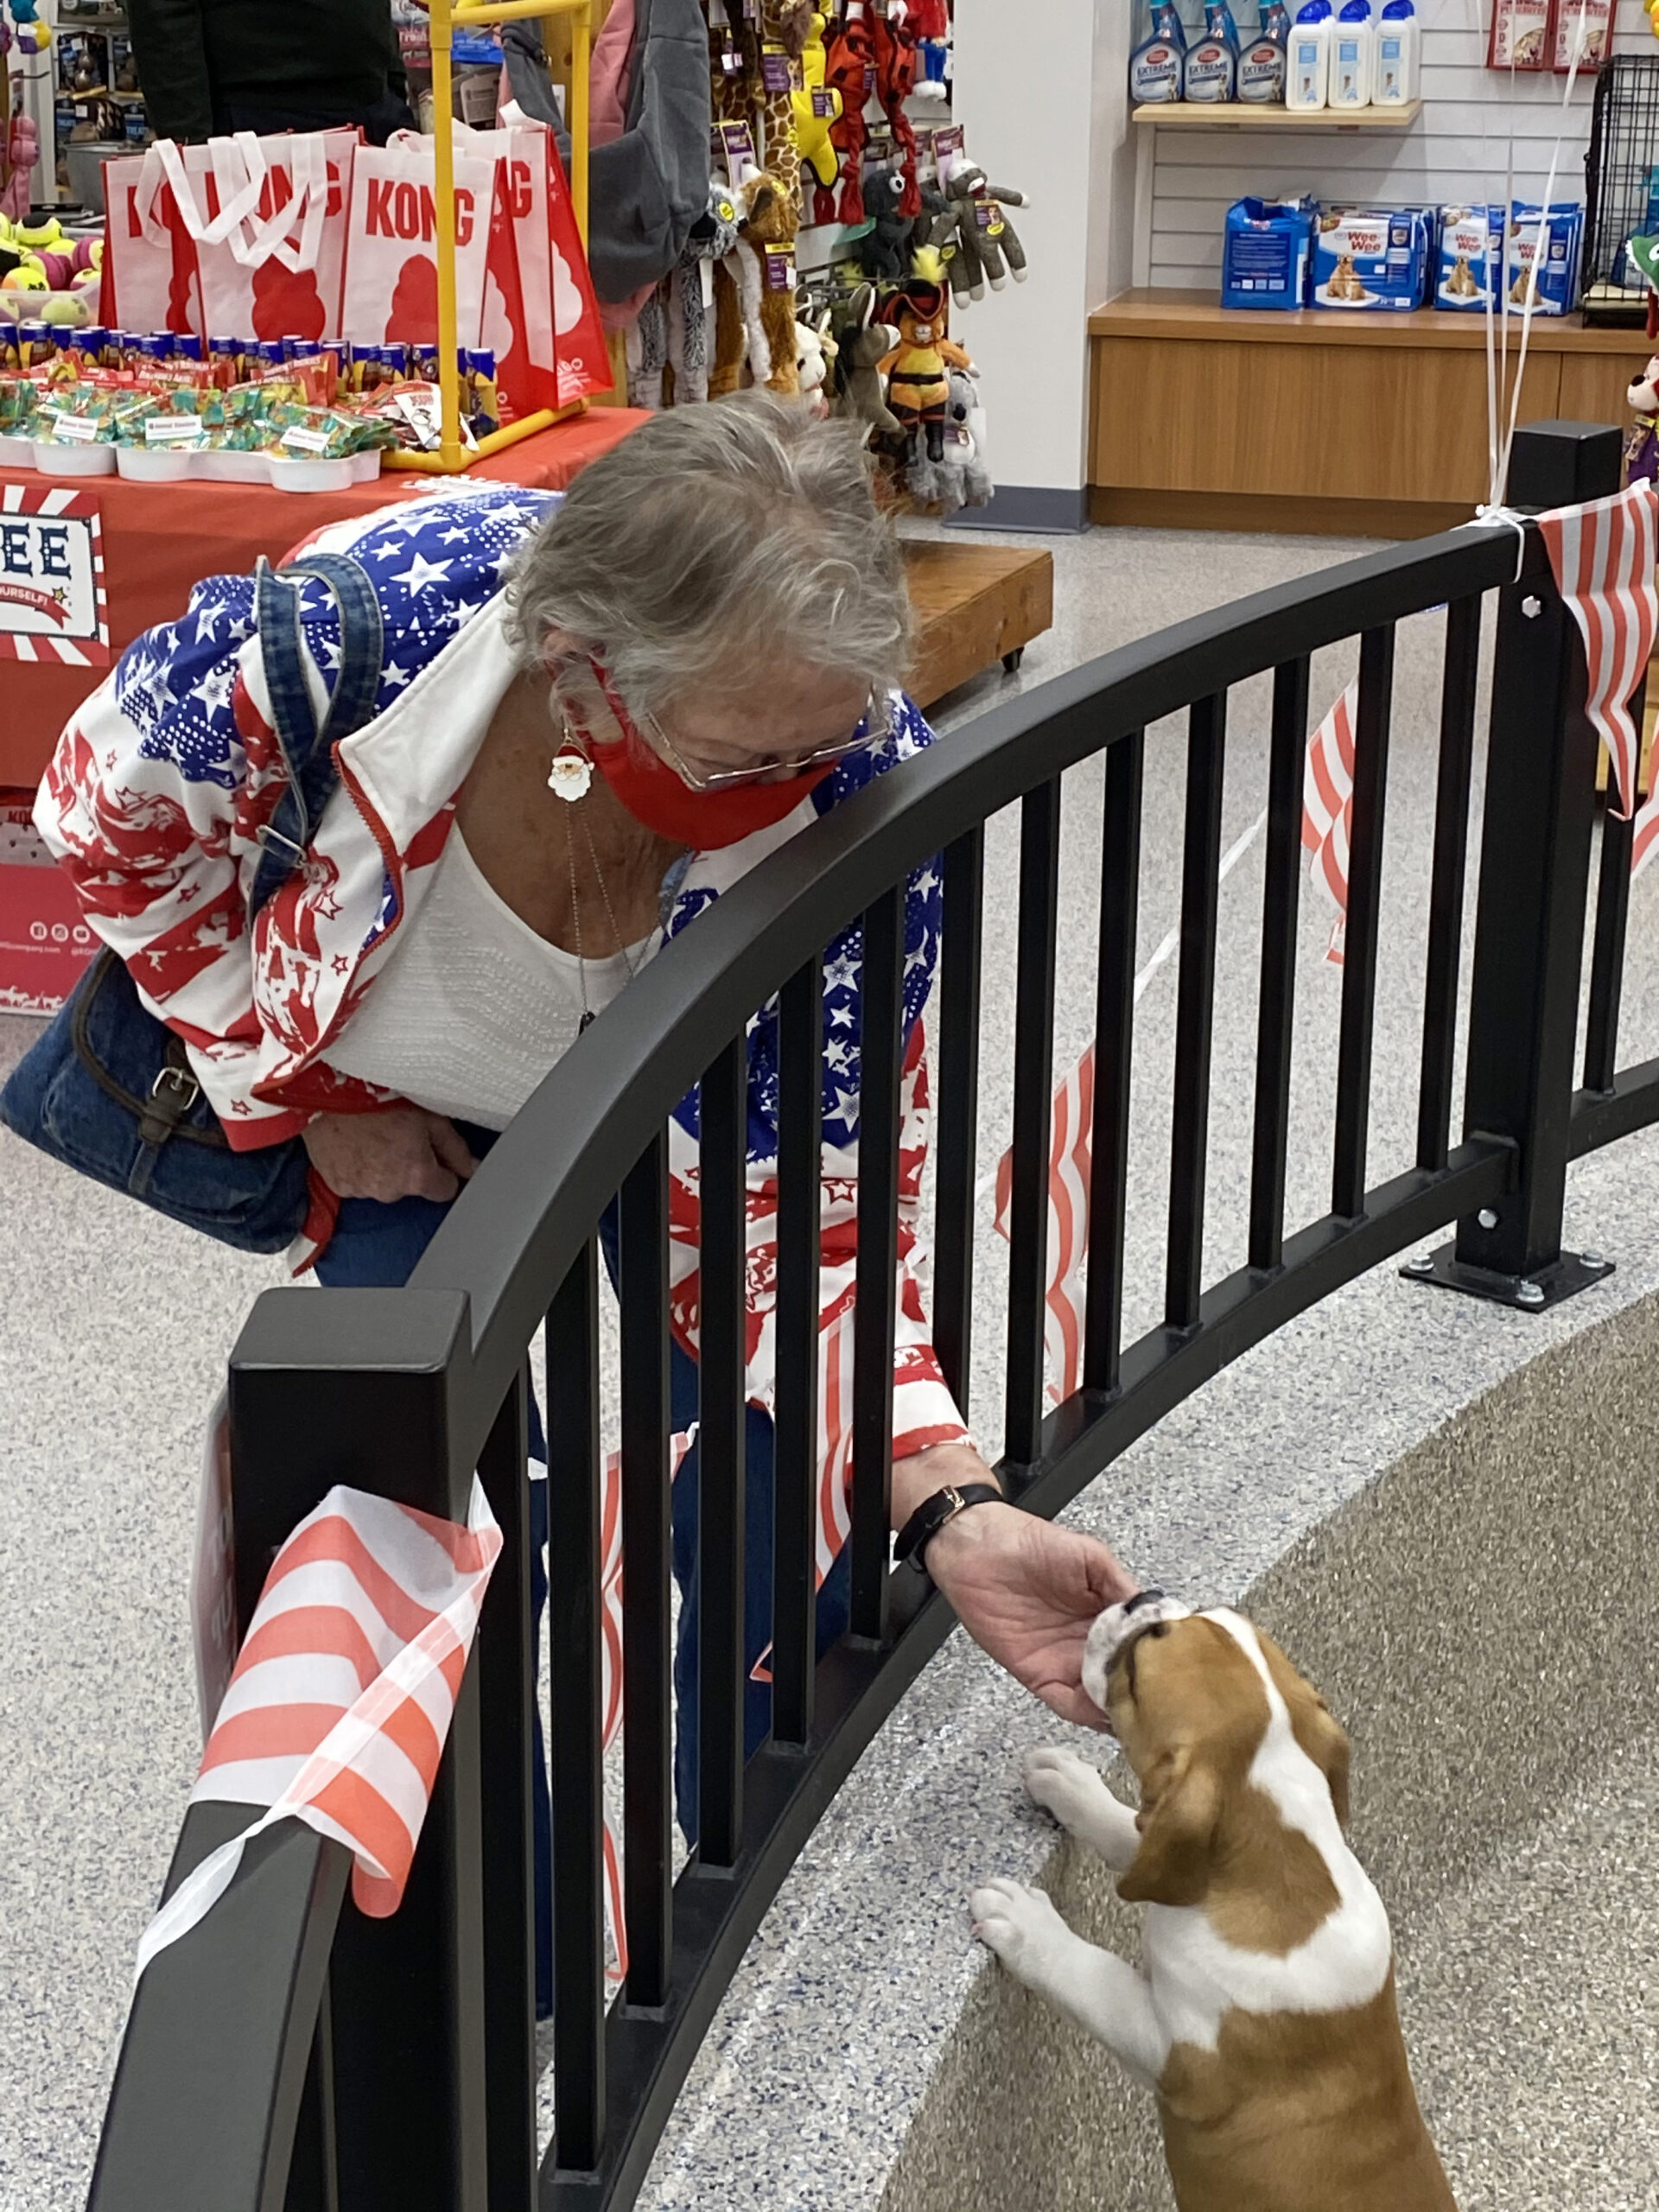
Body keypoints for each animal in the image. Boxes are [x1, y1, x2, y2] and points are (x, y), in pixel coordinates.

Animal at [969, 1610, 1459, 2212]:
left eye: (1135, 1671)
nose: (1143, 1599)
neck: (1281, 1866)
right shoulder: (1175, 1856)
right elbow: (1135, 1837)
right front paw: (1071, 1785)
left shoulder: (1169, 2047)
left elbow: (1089, 1976)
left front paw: (1026, 1923)